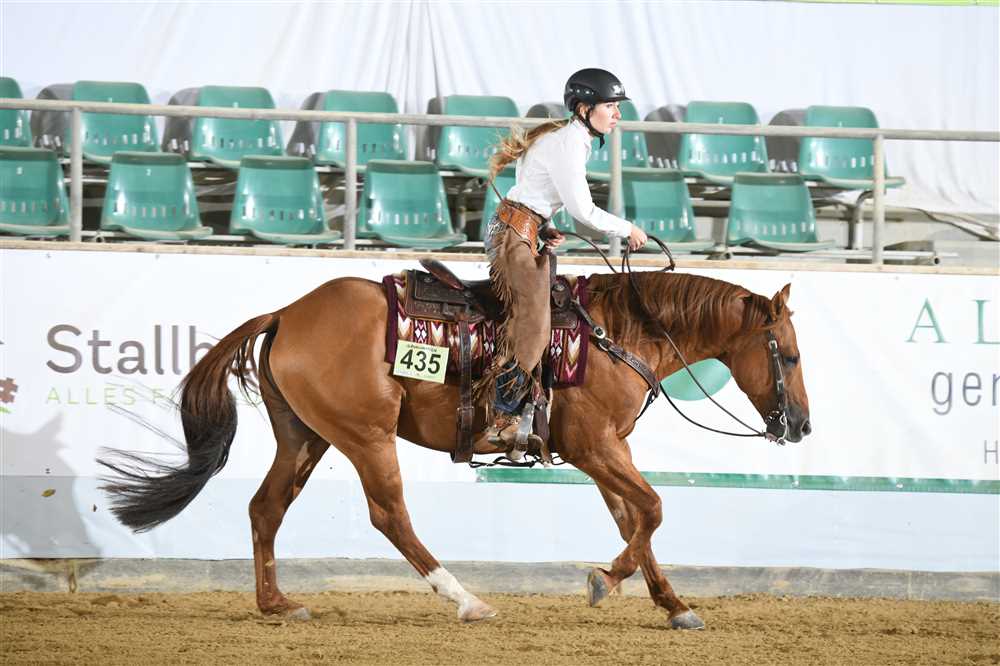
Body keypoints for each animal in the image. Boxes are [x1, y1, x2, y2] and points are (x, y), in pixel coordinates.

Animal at [99, 268, 811, 630]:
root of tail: (287, 313)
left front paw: (674, 605)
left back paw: (277, 603)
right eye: (790, 354)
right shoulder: (593, 446)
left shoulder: (609, 452)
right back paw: (466, 599)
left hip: (306, 435)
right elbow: (655, 509)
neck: (617, 332)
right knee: (389, 515)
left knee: (265, 507)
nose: (800, 425)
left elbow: (634, 518)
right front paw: (603, 581)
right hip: (365, 436)